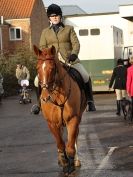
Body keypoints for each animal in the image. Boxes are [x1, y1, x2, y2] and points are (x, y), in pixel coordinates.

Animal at [33, 45, 87, 175]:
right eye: (37, 68)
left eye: (52, 68)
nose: (45, 98)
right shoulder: (52, 123)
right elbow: (60, 144)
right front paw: (64, 162)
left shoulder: (73, 119)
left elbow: (70, 144)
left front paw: (70, 165)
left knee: (75, 136)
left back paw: (76, 160)